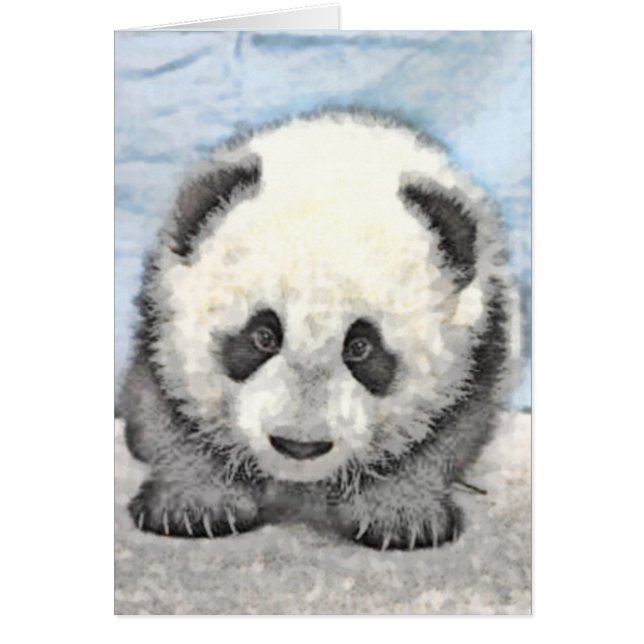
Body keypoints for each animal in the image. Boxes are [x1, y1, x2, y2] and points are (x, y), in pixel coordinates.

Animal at [121, 108, 519, 550]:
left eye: (361, 346)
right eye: (263, 336)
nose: (299, 445)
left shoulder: (481, 341)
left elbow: (447, 431)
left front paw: (401, 513)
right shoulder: (160, 326)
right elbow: (164, 414)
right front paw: (194, 504)